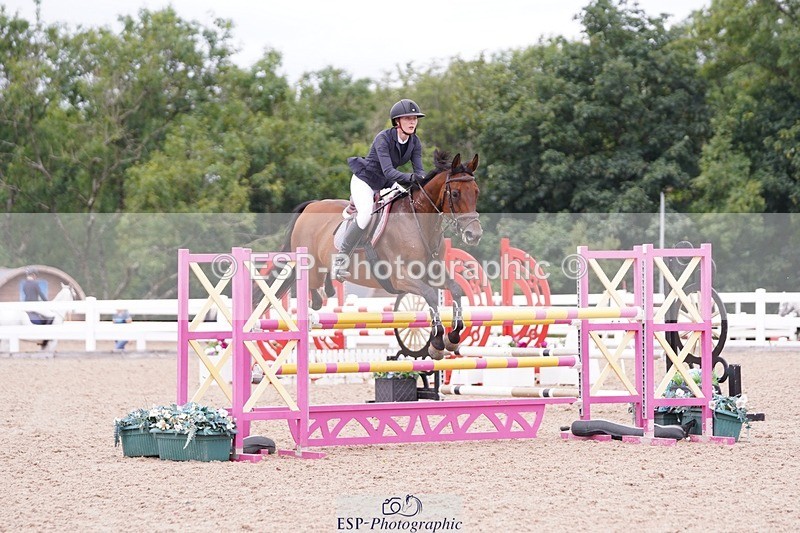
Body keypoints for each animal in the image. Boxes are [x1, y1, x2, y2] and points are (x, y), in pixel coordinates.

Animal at [279, 150, 482, 359]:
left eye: (476, 192)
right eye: (456, 193)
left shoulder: (433, 272)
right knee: (311, 284)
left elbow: (455, 289)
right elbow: (430, 295)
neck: (418, 222)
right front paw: (437, 342)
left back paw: (328, 288)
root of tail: (310, 206)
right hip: (310, 265)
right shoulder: (400, 278)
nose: (474, 235)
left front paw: (453, 338)